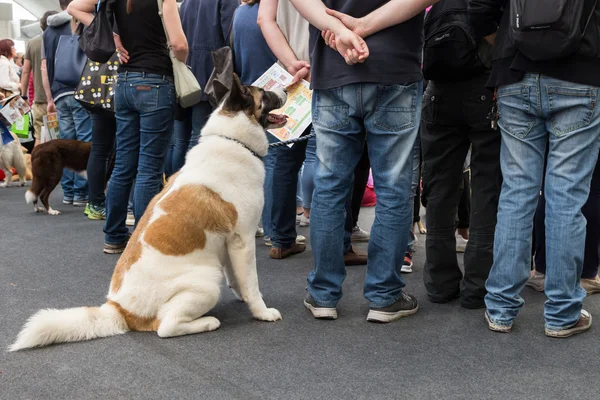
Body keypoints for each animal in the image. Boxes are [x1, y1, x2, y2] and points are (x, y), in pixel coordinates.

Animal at [10, 74, 288, 350]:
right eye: (263, 92)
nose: (287, 88)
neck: (233, 141)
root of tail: (119, 310)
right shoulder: (243, 241)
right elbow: (252, 283)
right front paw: (262, 311)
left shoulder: (229, 243)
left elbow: (237, 277)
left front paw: (242, 296)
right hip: (207, 281)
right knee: (166, 326)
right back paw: (208, 322)